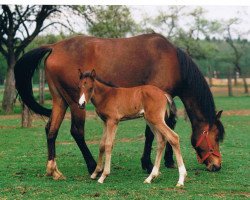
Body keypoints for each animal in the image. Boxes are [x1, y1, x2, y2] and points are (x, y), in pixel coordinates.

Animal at [13, 32, 225, 180]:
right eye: (215, 137)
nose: (217, 165)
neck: (172, 60)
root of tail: (54, 46)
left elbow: (167, 127)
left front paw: (167, 161)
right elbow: (153, 132)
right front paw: (148, 164)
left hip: (60, 101)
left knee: (51, 130)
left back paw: (53, 170)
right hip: (75, 103)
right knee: (76, 132)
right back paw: (92, 166)